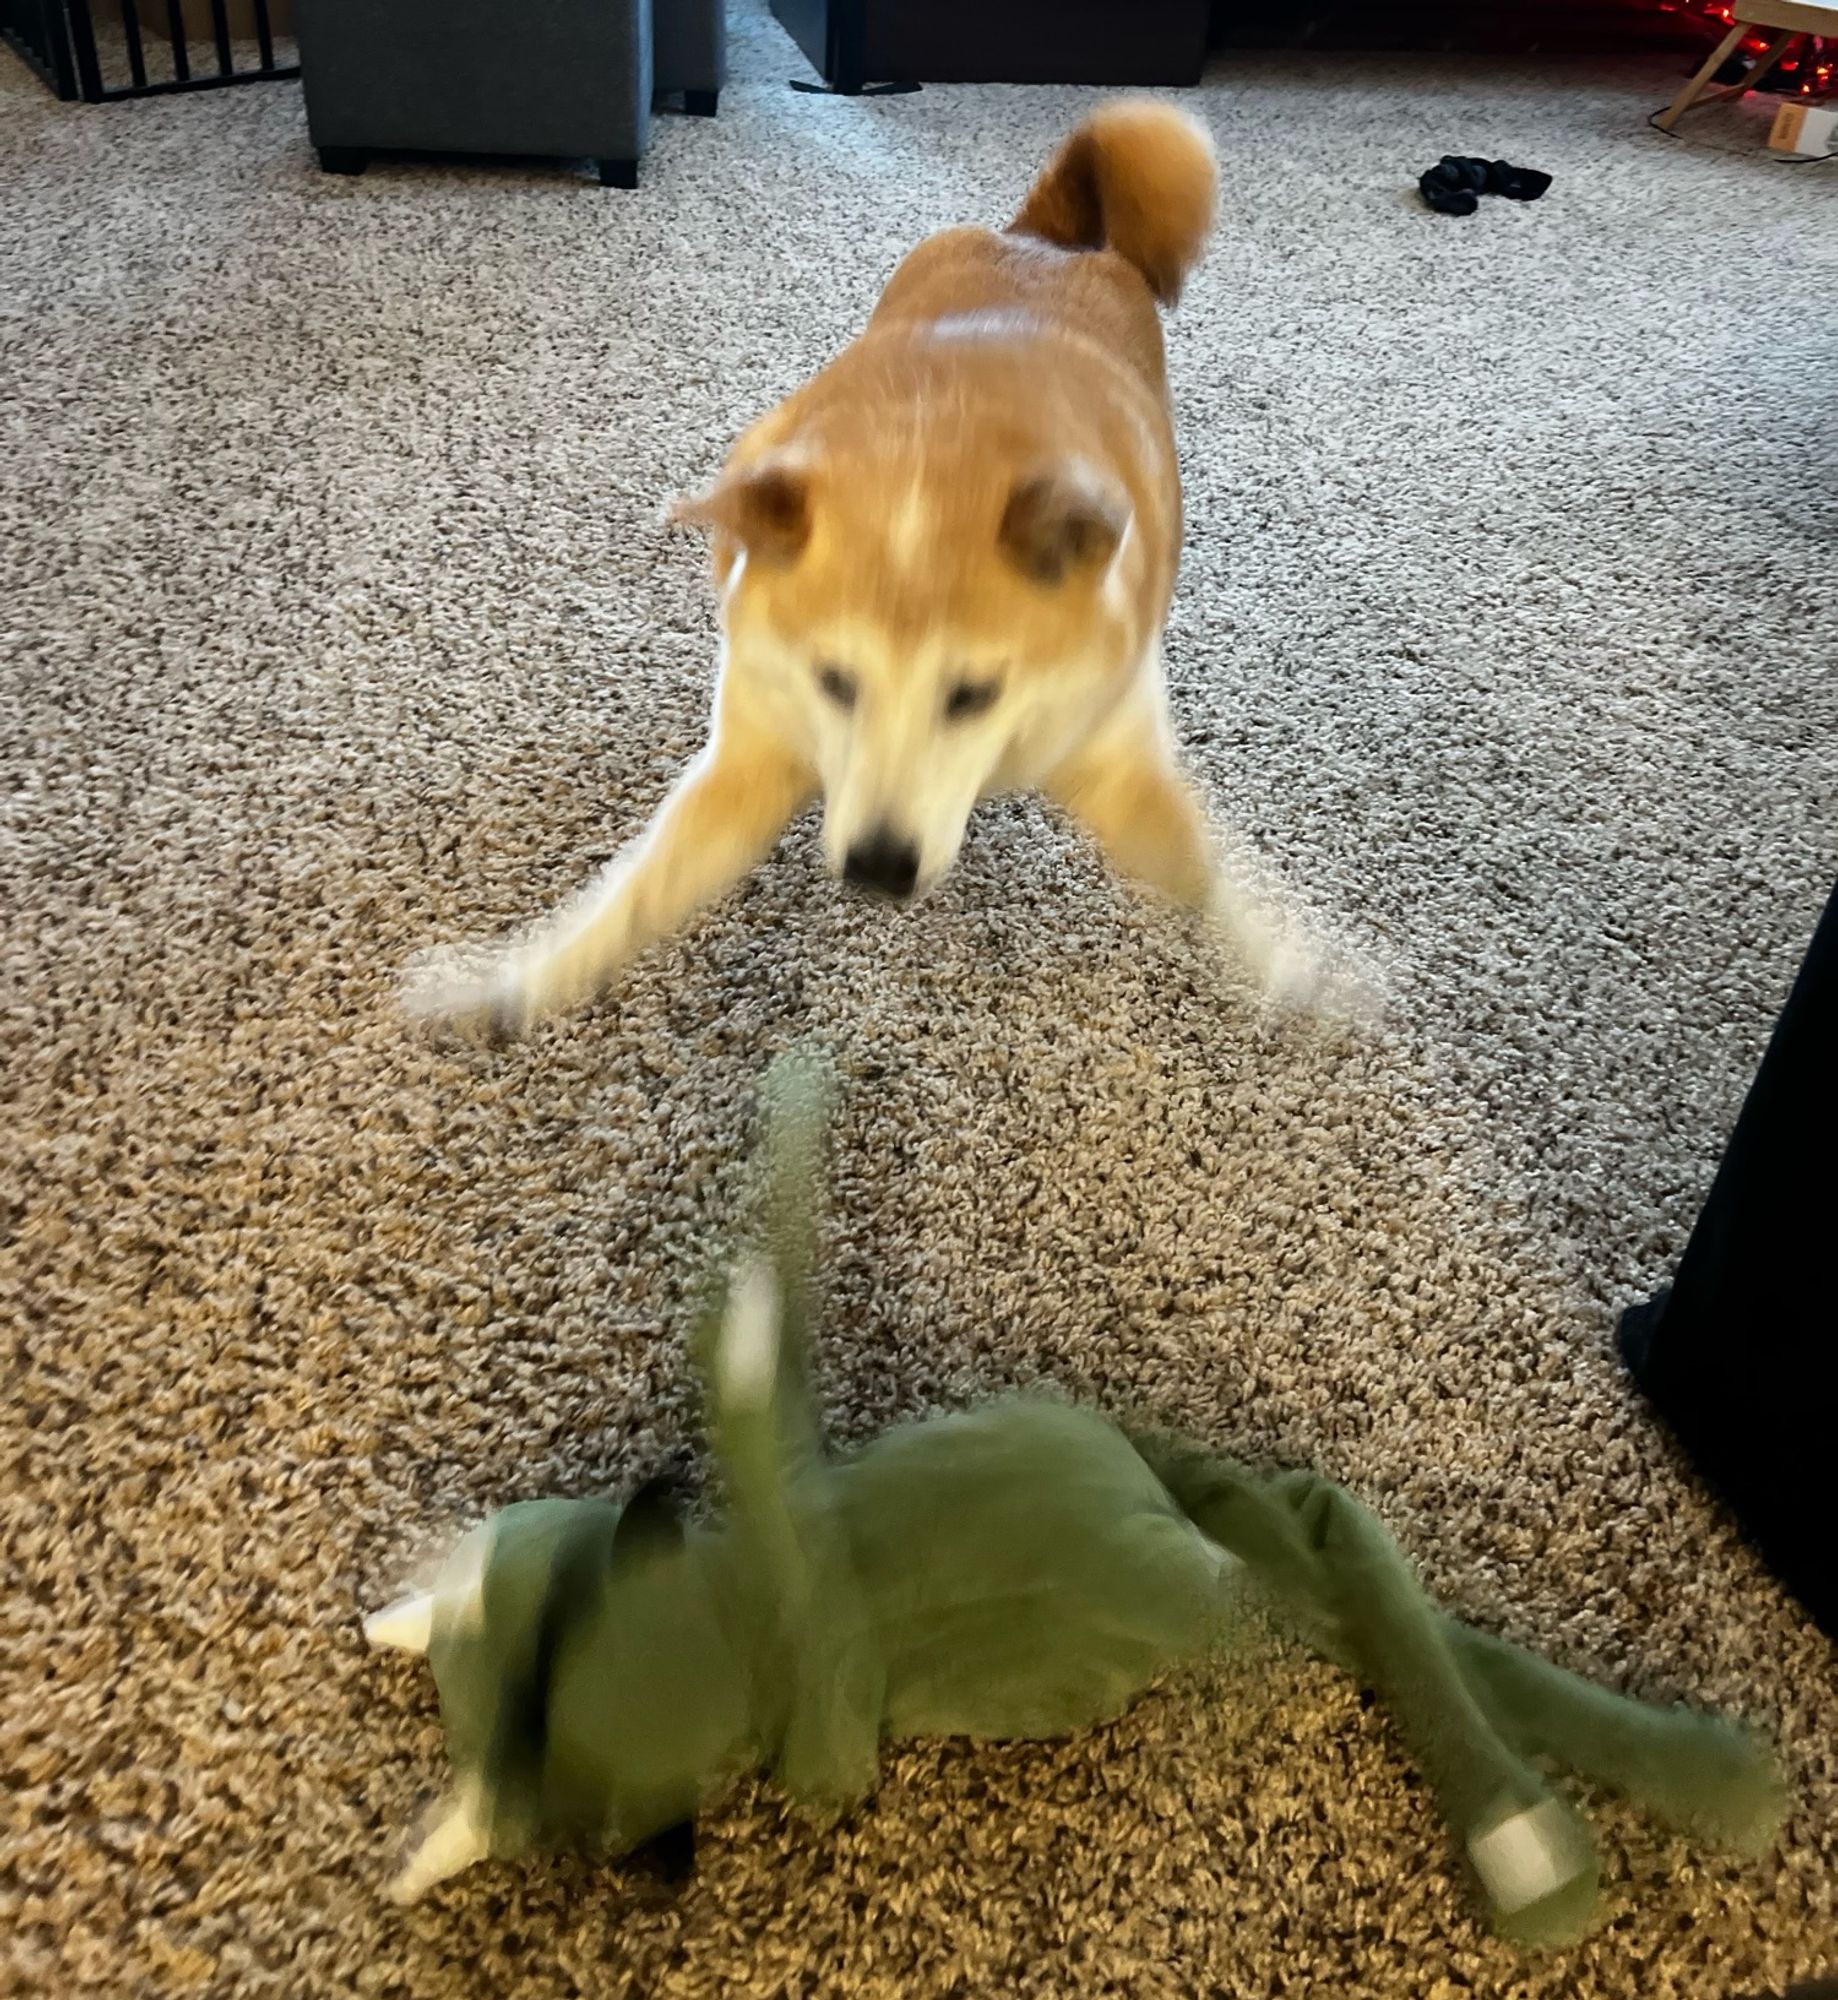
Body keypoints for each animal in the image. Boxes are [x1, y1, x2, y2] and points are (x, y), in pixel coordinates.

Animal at [416, 99, 1360, 1040]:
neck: (926, 475)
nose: (877, 869)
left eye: (974, 694)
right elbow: (633, 894)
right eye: (834, 681)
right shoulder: (757, 739)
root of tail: (1044, 239)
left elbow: (1199, 869)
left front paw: (1298, 963)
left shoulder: (1110, 740)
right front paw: (503, 982)